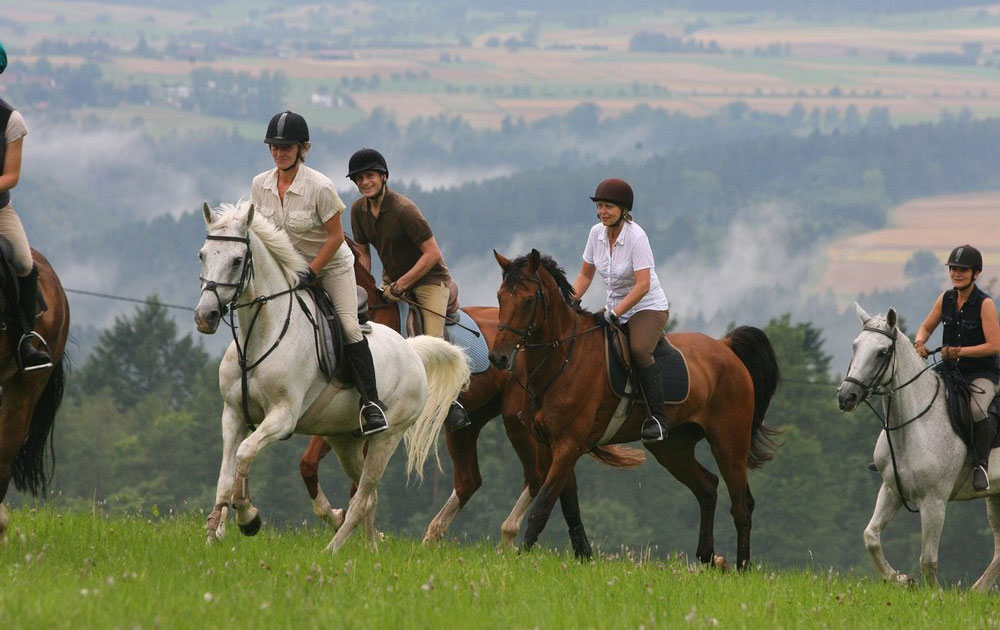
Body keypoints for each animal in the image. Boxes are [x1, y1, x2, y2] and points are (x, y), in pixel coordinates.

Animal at [196, 205, 472, 556]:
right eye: (203, 255)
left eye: (236, 260)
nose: (205, 316)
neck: (258, 339)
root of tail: (411, 349)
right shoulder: (232, 415)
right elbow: (225, 475)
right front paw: (213, 535)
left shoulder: (282, 417)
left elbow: (245, 453)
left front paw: (248, 517)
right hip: (345, 440)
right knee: (369, 497)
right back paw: (371, 551)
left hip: (386, 438)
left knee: (363, 496)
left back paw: (332, 549)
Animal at [296, 238, 644, 556]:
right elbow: (311, 465)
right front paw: (343, 520)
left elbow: (350, 479)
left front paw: (348, 523)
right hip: (467, 423)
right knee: (469, 480)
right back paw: (432, 536)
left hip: (515, 420)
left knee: (534, 475)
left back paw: (507, 535)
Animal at [490, 252, 780, 572]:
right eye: (500, 297)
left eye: (529, 300)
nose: (498, 358)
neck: (563, 358)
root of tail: (725, 346)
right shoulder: (553, 445)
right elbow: (569, 506)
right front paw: (584, 555)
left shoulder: (568, 444)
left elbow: (543, 505)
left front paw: (523, 558)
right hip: (672, 447)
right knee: (707, 487)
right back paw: (707, 556)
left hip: (729, 443)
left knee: (742, 503)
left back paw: (742, 567)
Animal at [836, 304, 1000, 592]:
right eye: (855, 346)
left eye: (882, 352)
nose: (846, 397)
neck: (913, 426)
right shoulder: (891, 490)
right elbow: (871, 537)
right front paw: (901, 579)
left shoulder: (934, 502)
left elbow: (928, 559)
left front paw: (935, 595)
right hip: (995, 497)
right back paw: (976, 591)